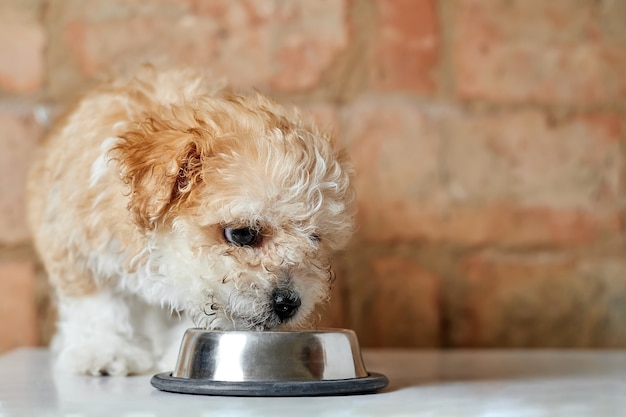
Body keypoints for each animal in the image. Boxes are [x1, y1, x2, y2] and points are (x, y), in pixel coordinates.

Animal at [26, 66, 354, 376]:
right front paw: (105, 352)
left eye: (315, 238)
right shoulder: (73, 242)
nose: (289, 303)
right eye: (243, 234)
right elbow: (96, 305)